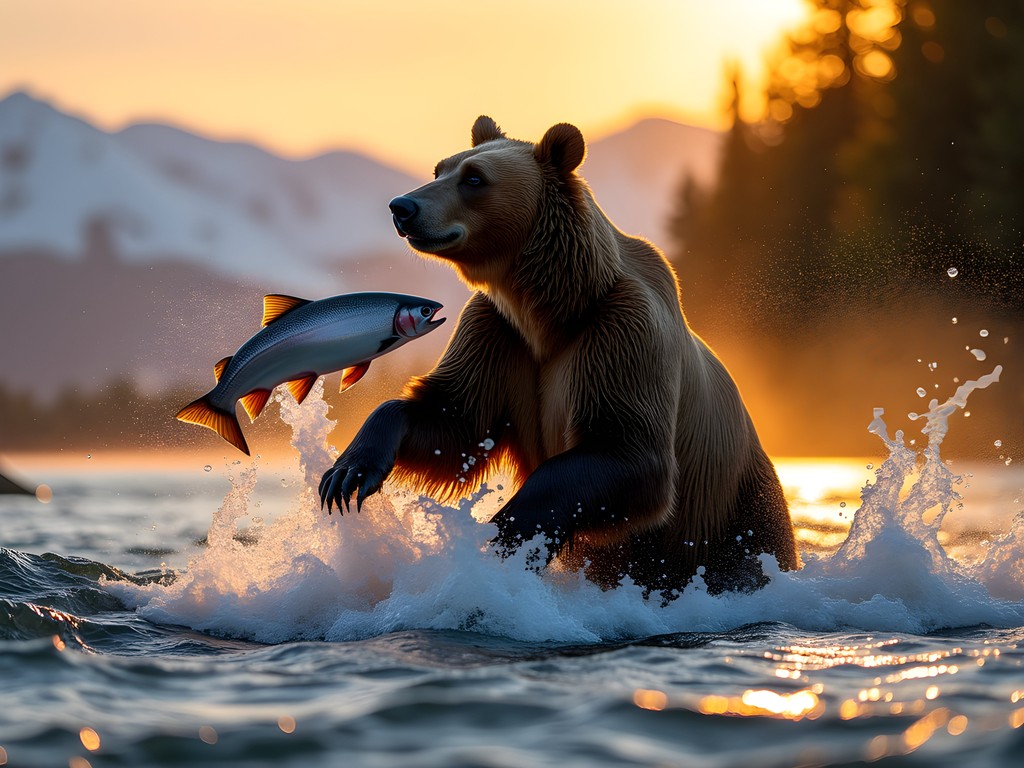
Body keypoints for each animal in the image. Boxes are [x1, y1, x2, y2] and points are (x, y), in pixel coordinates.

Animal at [319, 116, 798, 595]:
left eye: (474, 178)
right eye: (440, 169)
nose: (402, 207)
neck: (552, 311)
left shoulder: (621, 334)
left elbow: (626, 451)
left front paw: (501, 541)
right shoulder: (498, 334)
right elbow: (454, 419)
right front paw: (348, 470)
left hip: (734, 517)